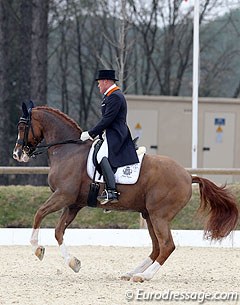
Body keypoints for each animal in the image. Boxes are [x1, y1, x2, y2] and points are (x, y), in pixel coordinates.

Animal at [12, 101, 238, 282]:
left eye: (22, 126)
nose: (17, 154)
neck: (68, 150)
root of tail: (188, 176)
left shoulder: (62, 196)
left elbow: (39, 213)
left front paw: (37, 249)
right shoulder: (73, 204)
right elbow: (58, 231)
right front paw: (73, 263)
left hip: (159, 215)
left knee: (167, 246)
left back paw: (143, 276)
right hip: (149, 215)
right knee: (157, 247)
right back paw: (131, 272)